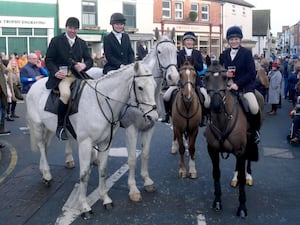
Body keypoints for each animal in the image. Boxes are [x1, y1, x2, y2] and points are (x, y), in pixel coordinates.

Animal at [26, 61, 157, 218]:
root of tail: (35, 84)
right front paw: (84, 206)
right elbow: (84, 175)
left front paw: (105, 199)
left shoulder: (105, 142)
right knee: (41, 146)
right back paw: (46, 174)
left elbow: (103, 170)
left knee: (45, 147)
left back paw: (44, 172)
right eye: (140, 87)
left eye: (155, 85)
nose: (153, 117)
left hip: (49, 129)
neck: (100, 103)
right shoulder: (85, 144)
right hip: (38, 126)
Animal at [204, 61, 264, 218]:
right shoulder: (212, 150)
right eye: (206, 78)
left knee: (247, 161)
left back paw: (249, 176)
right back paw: (235, 179)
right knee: (238, 165)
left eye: (225, 77)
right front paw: (217, 201)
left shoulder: (241, 150)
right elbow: (216, 173)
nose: (216, 106)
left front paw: (242, 207)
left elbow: (242, 177)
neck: (223, 120)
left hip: (248, 143)